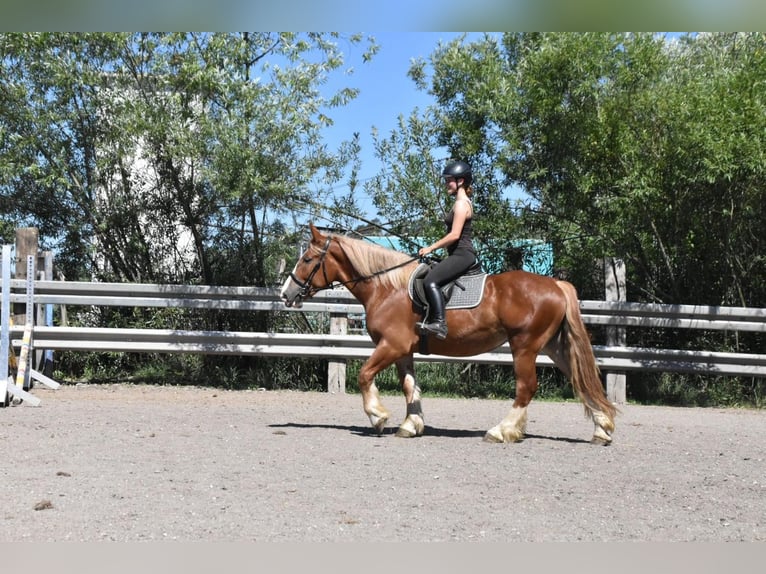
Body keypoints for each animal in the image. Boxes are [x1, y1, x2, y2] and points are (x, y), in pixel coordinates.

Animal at [280, 223, 617, 444]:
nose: (286, 293)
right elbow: (409, 387)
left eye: (307, 259)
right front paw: (410, 425)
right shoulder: (403, 350)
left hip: (525, 346)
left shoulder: (391, 345)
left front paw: (378, 416)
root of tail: (556, 285)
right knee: (580, 380)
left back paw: (501, 431)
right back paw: (602, 429)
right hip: (553, 346)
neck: (386, 288)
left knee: (526, 388)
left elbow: (364, 375)